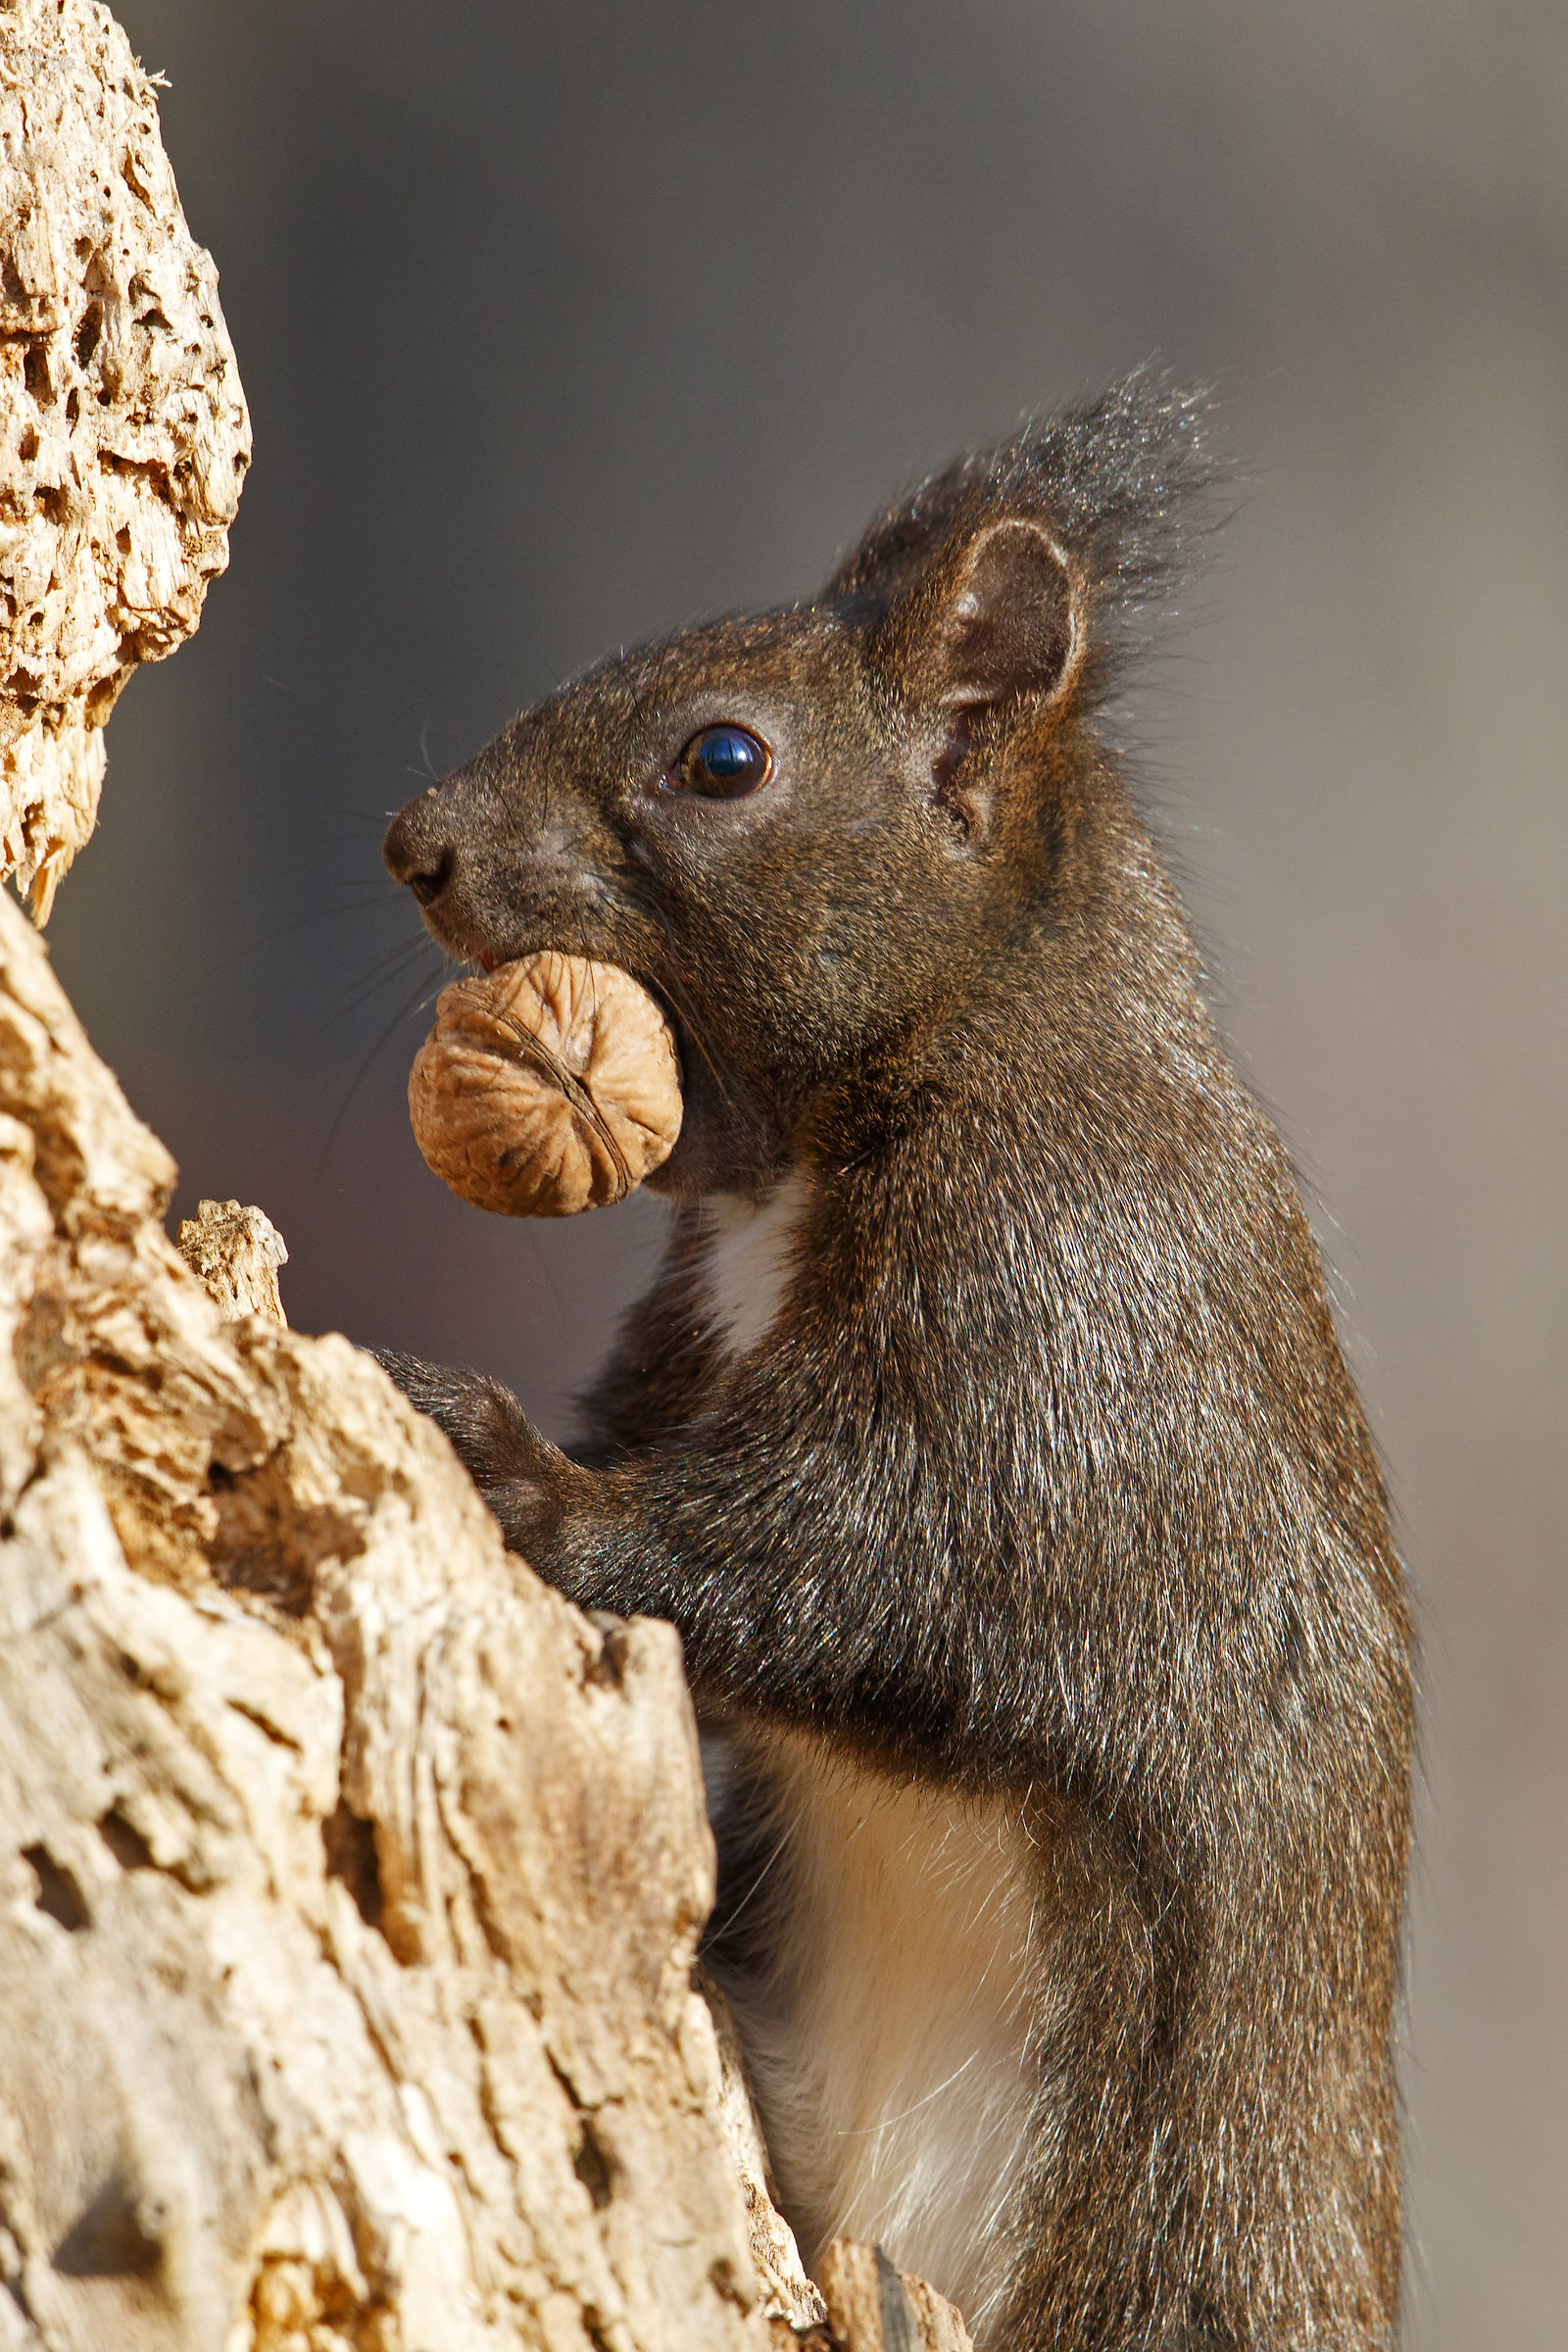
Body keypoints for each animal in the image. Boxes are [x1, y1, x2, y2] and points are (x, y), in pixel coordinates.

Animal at [379, 371, 1413, 2352]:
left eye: (724, 760)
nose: (416, 843)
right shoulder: (693, 1326)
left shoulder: (1058, 1330)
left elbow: (871, 1570)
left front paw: (514, 1472)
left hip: (1157, 2254)